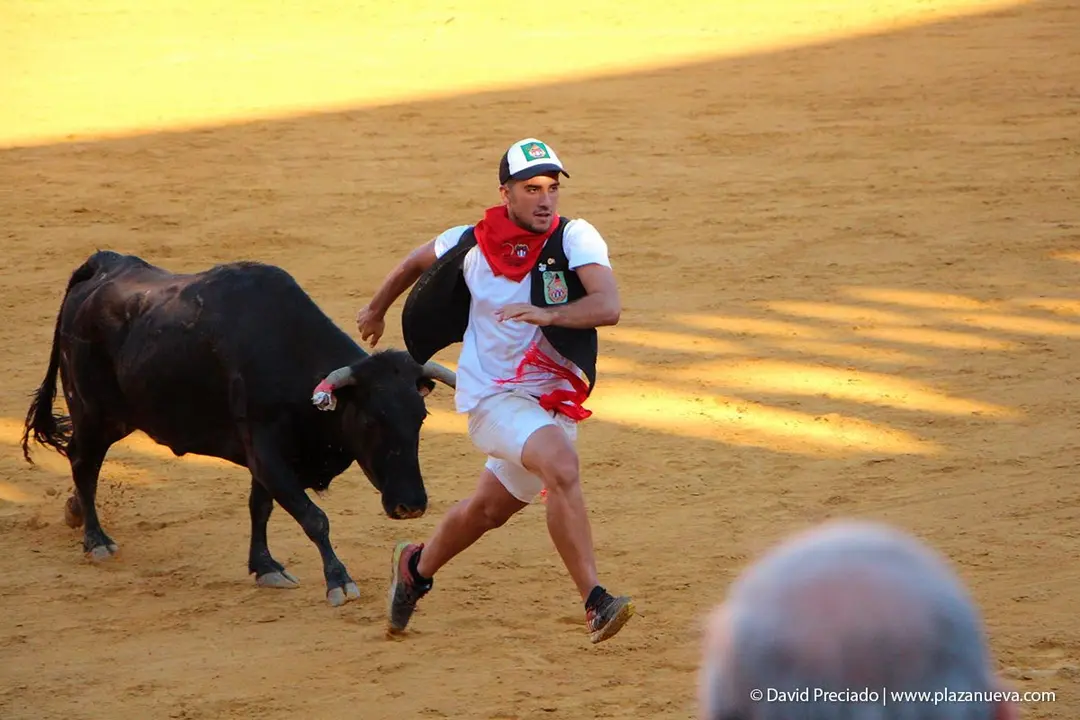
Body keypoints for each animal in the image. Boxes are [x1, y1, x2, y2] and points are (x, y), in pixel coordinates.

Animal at [20, 250, 456, 607]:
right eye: (370, 420)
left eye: (420, 418)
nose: (411, 505)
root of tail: (103, 263)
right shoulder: (266, 453)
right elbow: (313, 516)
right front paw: (339, 581)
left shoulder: (266, 459)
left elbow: (260, 507)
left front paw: (265, 566)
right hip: (92, 411)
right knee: (83, 461)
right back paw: (96, 540)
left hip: (117, 418)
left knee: (85, 463)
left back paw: (75, 512)